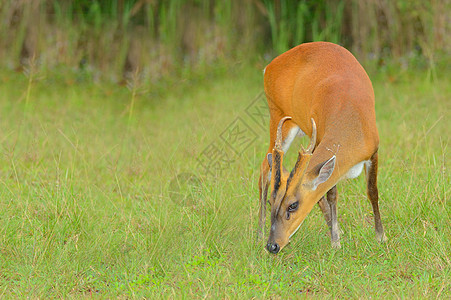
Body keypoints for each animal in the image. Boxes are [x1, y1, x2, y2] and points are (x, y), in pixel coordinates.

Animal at [258, 41, 388, 253]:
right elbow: (332, 194)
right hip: (278, 116)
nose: (272, 246)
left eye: (293, 205)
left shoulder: (373, 151)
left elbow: (372, 191)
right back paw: (259, 233)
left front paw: (381, 236)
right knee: (264, 168)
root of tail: (268, 67)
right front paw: (336, 241)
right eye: (271, 201)